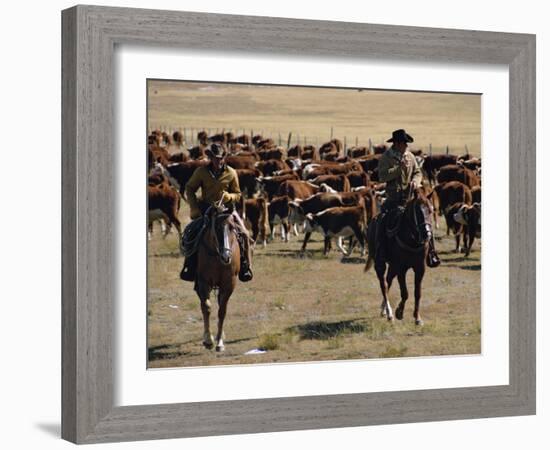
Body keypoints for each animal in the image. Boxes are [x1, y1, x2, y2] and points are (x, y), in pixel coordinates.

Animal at [196, 204, 244, 352]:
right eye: (216, 227)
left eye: (232, 227)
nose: (226, 257)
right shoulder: (203, 282)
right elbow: (206, 307)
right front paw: (208, 340)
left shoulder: (229, 284)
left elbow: (222, 311)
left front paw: (220, 342)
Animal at [366, 188, 436, 326]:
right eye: (418, 212)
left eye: (431, 210)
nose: (427, 235)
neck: (411, 240)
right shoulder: (401, 269)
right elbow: (405, 293)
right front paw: (399, 312)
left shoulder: (420, 268)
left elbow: (417, 293)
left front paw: (417, 317)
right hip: (381, 264)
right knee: (383, 285)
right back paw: (389, 313)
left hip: (392, 266)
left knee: (388, 281)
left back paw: (384, 310)